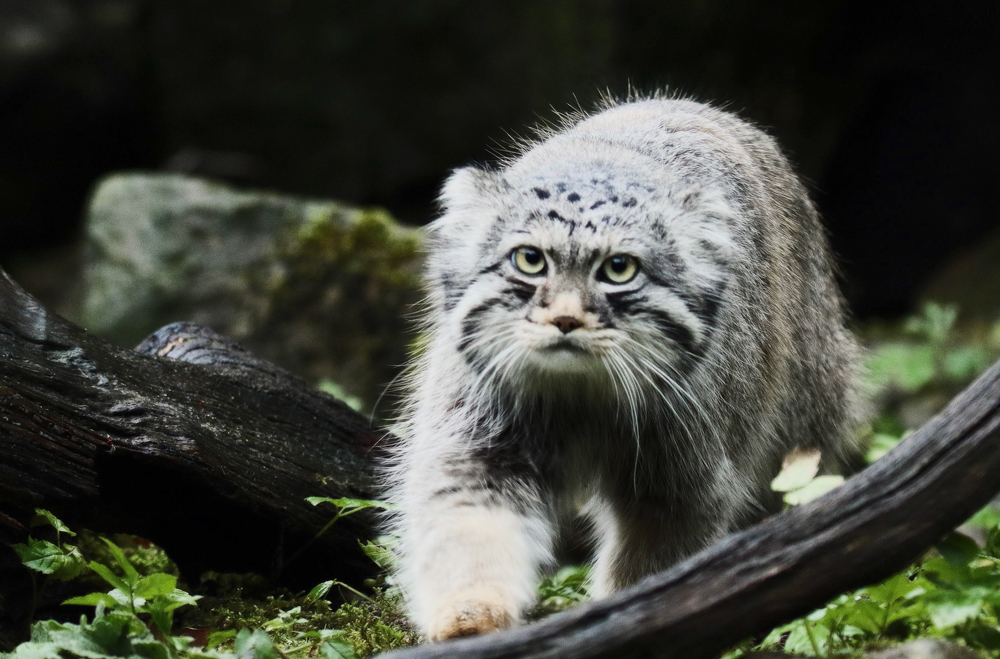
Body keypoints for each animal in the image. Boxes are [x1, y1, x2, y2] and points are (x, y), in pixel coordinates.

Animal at [382, 93, 860, 640]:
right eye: (529, 260)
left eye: (618, 269)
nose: (566, 319)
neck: (581, 396)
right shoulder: (478, 448)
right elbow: (468, 530)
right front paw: (469, 617)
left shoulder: (680, 479)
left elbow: (654, 565)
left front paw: (629, 614)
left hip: (807, 416)